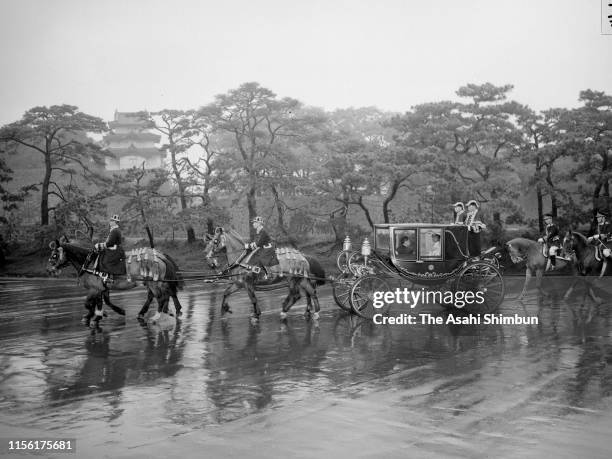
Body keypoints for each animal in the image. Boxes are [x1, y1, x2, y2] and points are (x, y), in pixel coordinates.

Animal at [47, 237, 184, 328]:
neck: (89, 263)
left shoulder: (95, 289)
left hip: (154, 283)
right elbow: (101, 302)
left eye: (54, 255)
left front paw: (96, 315)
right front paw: (97, 315)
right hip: (153, 283)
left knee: (162, 297)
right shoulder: (101, 288)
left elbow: (88, 303)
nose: (49, 270)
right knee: (161, 295)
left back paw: (157, 316)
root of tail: (160, 257)